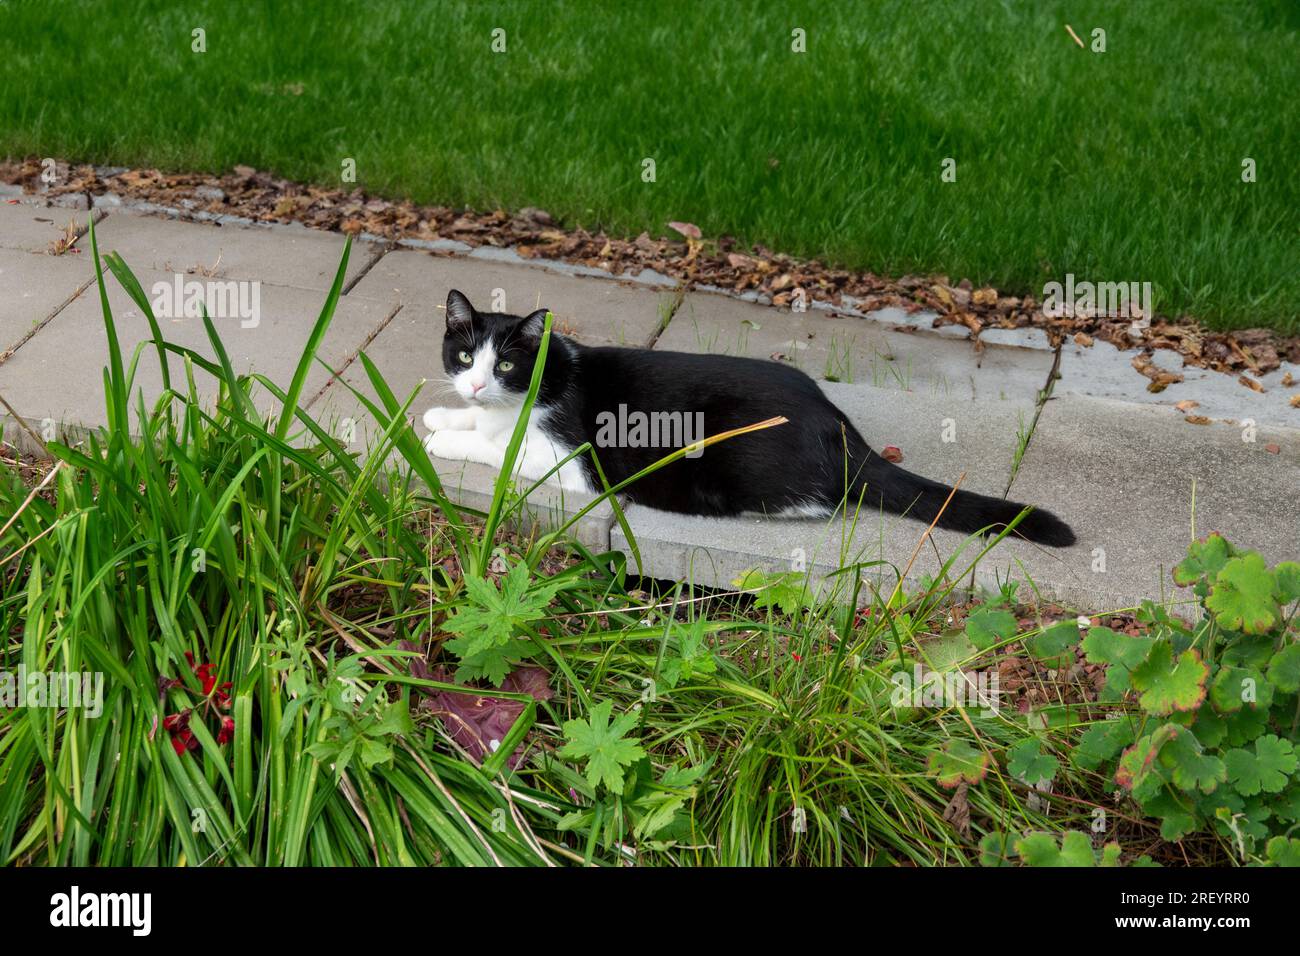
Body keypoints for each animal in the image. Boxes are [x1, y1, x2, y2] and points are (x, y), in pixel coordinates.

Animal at [426, 287, 1076, 546]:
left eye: (508, 364)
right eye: (464, 357)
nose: (477, 383)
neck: (544, 379)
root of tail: (842, 432)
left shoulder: (568, 457)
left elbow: (498, 449)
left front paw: (441, 442)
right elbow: (477, 424)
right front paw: (440, 415)